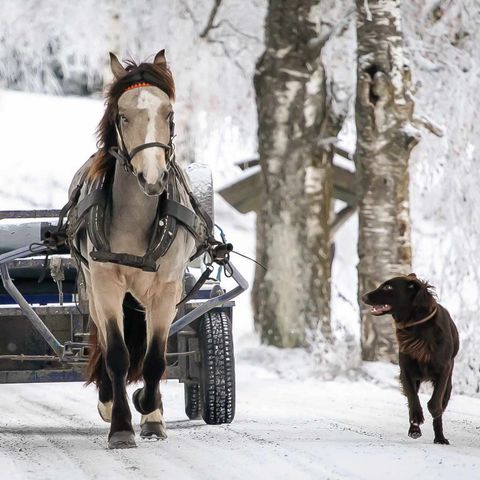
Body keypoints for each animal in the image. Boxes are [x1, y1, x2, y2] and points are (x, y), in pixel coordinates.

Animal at [65, 50, 199, 448]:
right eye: (123, 116)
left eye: (168, 114)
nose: (152, 178)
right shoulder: (105, 283)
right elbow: (117, 355)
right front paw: (121, 425)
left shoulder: (167, 289)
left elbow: (155, 358)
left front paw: (150, 412)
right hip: (92, 288)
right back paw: (110, 400)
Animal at [362, 272, 460, 444]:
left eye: (388, 287)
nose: (363, 296)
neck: (417, 326)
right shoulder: (406, 371)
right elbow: (412, 398)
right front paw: (416, 420)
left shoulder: (444, 369)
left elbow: (435, 403)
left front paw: (433, 415)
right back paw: (415, 429)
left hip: (449, 385)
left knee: (441, 404)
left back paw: (440, 437)